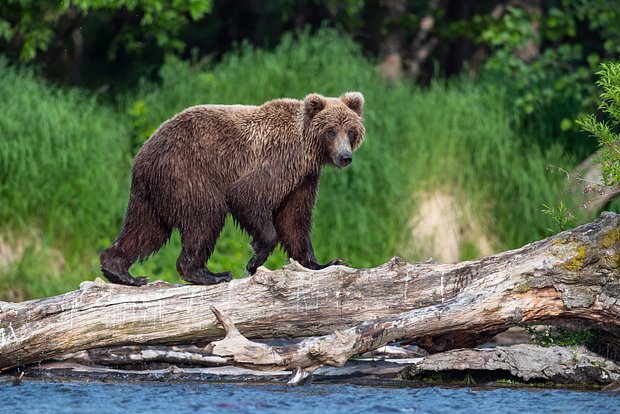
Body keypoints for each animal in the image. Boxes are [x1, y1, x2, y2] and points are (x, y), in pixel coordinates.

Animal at [99, 91, 366, 284]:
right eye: (331, 131)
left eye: (351, 131)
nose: (345, 157)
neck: (307, 151)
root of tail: (141, 155)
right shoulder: (278, 161)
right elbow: (247, 195)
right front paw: (255, 259)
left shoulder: (304, 178)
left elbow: (294, 219)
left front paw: (326, 262)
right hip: (187, 172)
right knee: (205, 216)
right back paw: (209, 274)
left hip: (153, 194)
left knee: (146, 230)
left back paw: (121, 271)